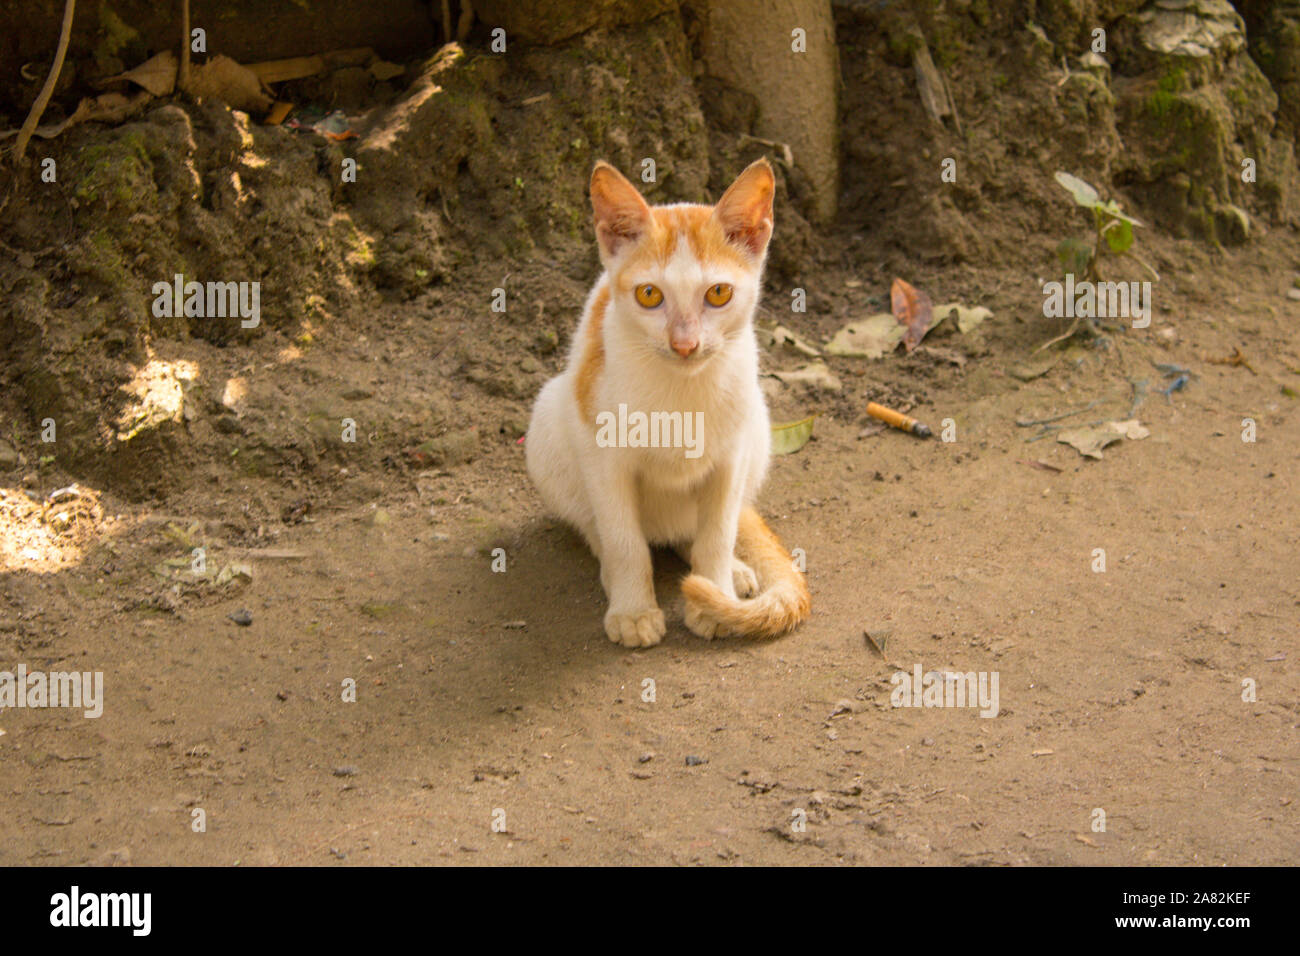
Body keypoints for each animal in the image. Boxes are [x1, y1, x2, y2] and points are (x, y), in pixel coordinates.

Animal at [522, 158, 806, 650]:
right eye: (649, 295)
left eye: (718, 293)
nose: (685, 344)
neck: (682, 393)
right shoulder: (601, 451)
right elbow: (624, 540)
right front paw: (634, 609)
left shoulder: (732, 456)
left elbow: (718, 532)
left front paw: (712, 596)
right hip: (550, 414)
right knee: (602, 525)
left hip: (757, 422)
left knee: (701, 529)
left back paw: (727, 575)